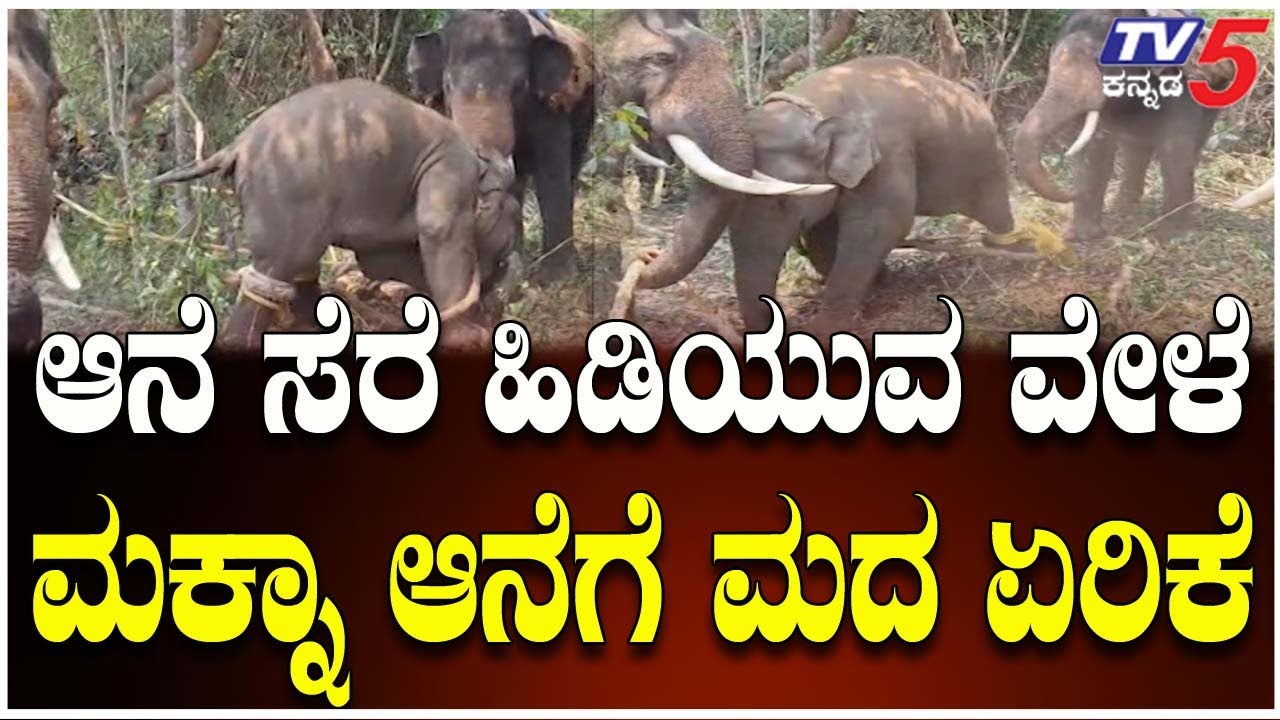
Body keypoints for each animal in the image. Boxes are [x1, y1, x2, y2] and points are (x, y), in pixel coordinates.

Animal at [151, 79, 523, 347]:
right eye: (513, 215)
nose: (495, 305)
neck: (478, 155)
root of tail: (236, 147)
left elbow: (381, 260)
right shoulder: (449, 169)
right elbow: (437, 229)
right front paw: (467, 335)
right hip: (286, 192)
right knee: (280, 264)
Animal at [601, 11, 1014, 332]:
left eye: (784, 203)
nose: (645, 255)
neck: (815, 105)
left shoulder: (890, 155)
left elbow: (880, 227)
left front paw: (826, 328)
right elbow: (823, 235)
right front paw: (879, 283)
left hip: (989, 157)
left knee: (994, 205)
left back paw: (1006, 244)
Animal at [1014, 9, 1233, 242]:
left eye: (1101, 63)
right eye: (1052, 59)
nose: (1071, 192)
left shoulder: (1180, 85)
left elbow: (1174, 148)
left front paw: (1172, 236)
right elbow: (1095, 148)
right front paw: (1081, 236)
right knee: (1135, 147)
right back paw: (1125, 207)